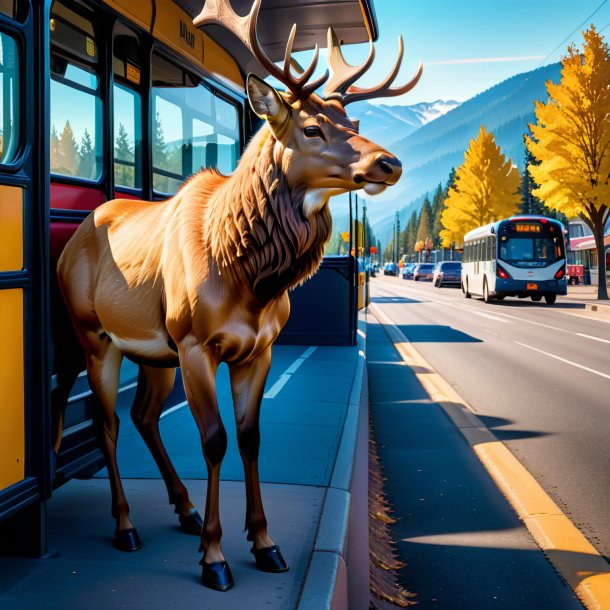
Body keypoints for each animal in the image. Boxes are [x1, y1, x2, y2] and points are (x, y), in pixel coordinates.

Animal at [54, 0, 420, 592]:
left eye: (354, 123)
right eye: (312, 126)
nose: (389, 163)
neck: (250, 275)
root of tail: (72, 243)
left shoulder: (257, 348)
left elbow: (250, 437)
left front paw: (265, 542)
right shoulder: (196, 345)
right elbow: (215, 440)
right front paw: (214, 556)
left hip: (153, 352)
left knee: (144, 415)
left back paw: (183, 508)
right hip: (95, 338)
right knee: (108, 425)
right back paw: (127, 525)